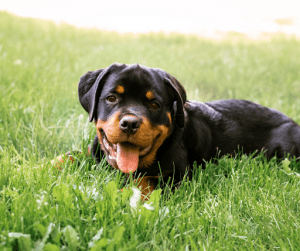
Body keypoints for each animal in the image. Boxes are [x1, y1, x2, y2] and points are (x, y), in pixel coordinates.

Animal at [66, 63, 300, 200]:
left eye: (155, 105)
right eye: (112, 98)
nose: (130, 123)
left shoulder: (179, 176)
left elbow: (147, 182)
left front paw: (125, 194)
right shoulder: (94, 153)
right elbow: (71, 154)